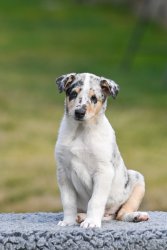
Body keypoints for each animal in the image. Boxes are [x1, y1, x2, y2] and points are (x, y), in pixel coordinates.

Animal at [55, 73, 149, 229]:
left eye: (94, 98)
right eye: (73, 94)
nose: (79, 112)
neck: (81, 132)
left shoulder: (103, 172)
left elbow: (95, 200)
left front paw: (91, 222)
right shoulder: (63, 173)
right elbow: (68, 201)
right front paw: (68, 221)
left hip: (137, 179)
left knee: (121, 214)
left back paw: (137, 216)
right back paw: (80, 217)